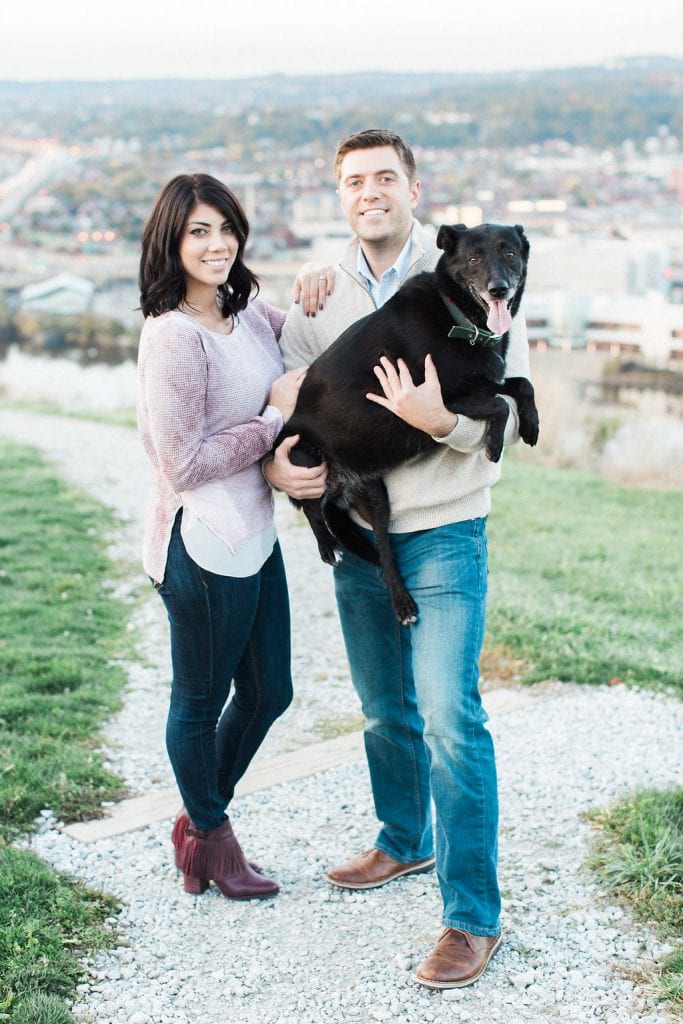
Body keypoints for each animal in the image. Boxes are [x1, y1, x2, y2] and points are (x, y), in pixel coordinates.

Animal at [276, 224, 540, 622]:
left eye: (509, 252)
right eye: (474, 258)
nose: (499, 289)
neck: (458, 320)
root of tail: (340, 487)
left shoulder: (479, 382)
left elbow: (521, 384)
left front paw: (531, 426)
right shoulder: (444, 398)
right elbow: (498, 405)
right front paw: (494, 445)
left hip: (378, 501)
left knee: (384, 551)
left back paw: (402, 602)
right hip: (303, 456)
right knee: (310, 507)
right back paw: (328, 546)